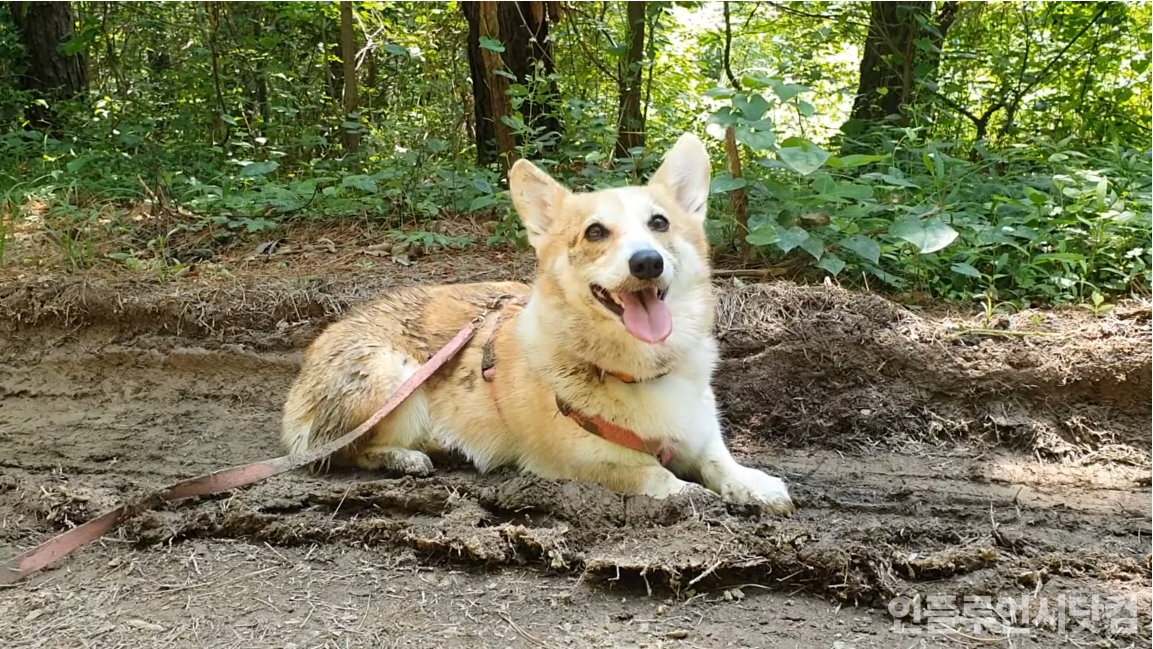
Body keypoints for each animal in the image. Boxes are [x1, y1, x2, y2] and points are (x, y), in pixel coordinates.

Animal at [283, 134, 797, 516]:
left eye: (659, 223)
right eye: (595, 232)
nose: (647, 263)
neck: (637, 370)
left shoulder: (699, 432)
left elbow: (720, 461)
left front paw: (754, 485)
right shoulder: (588, 460)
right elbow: (656, 475)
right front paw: (691, 495)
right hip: (393, 374)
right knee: (342, 451)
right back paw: (405, 457)